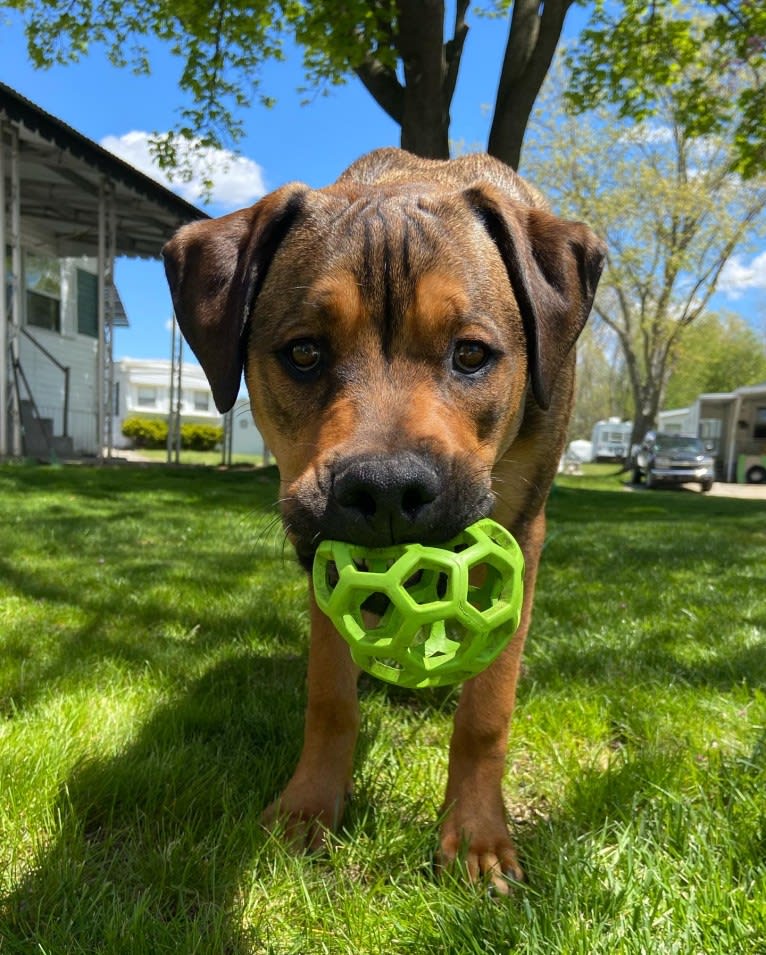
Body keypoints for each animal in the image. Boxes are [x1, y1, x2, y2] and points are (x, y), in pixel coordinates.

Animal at [162, 149, 608, 896]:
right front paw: (308, 808)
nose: (387, 489)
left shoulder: (523, 534)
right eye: (304, 352)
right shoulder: (318, 551)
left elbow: (487, 711)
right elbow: (329, 695)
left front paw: (478, 838)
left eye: (471, 354)